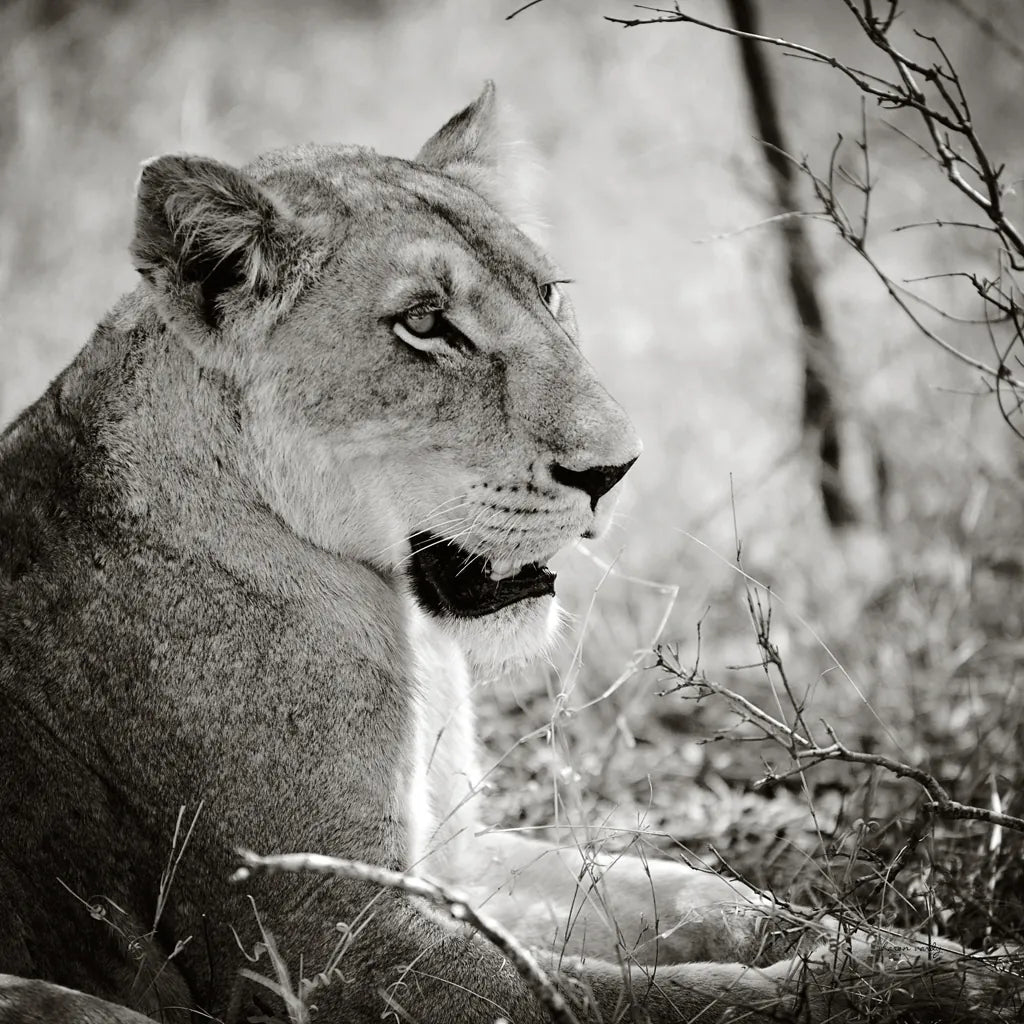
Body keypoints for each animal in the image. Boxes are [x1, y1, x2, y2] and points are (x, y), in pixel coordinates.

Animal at [0, 83, 1014, 1024]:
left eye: (549, 293)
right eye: (424, 324)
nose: (616, 469)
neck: (407, 632)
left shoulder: (457, 858)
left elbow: (697, 894)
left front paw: (927, 955)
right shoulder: (320, 941)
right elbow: (638, 998)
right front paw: (917, 990)